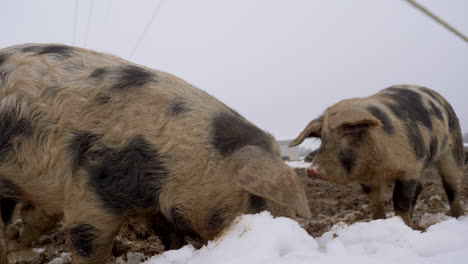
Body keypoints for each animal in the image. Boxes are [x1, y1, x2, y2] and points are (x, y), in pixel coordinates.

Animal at [288, 85, 464, 229]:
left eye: (348, 131)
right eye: (323, 137)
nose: (312, 170)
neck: (379, 168)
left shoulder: (409, 169)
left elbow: (400, 201)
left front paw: (404, 225)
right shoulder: (368, 181)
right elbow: (375, 203)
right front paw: (379, 222)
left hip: (452, 151)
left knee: (452, 187)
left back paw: (458, 218)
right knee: (420, 187)